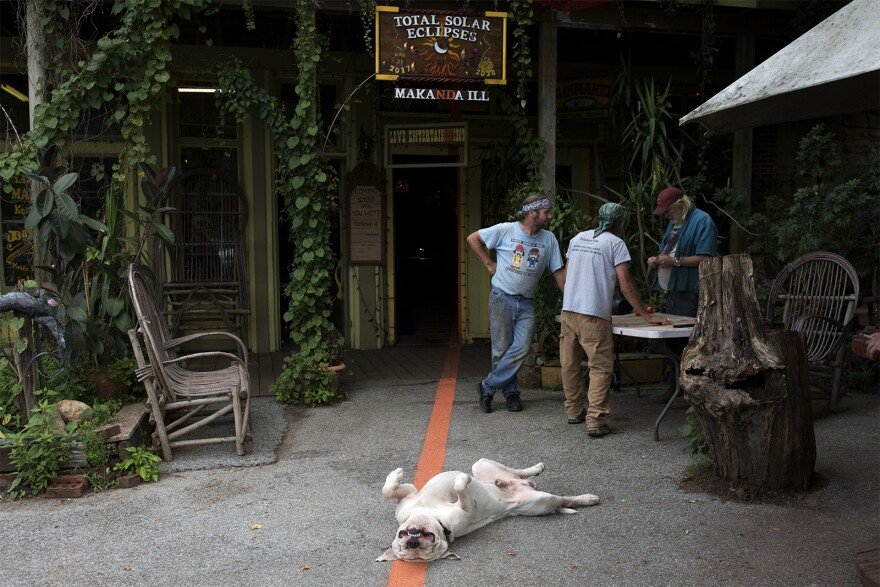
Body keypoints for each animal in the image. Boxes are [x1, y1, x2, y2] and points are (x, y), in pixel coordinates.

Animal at [374, 458, 600, 564]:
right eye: (414, 550)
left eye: (401, 535)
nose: (412, 541)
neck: (430, 514)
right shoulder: (467, 509)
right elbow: (461, 488)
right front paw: (462, 480)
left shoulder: (409, 496)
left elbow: (388, 490)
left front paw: (396, 474)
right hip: (540, 502)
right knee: (562, 499)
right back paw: (588, 499)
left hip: (481, 465)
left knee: (514, 473)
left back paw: (532, 471)